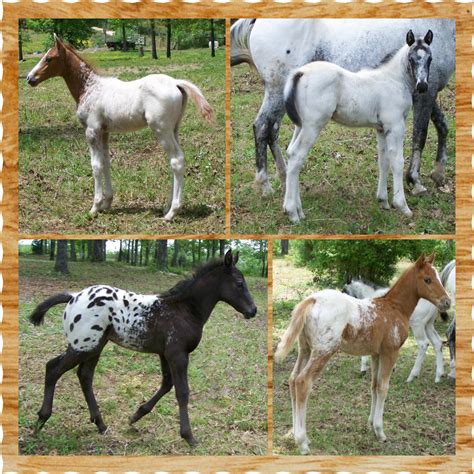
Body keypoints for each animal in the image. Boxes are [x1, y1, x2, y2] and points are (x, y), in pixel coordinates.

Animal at [24, 34, 213, 221]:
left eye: (49, 58)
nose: (29, 78)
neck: (89, 88)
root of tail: (176, 83)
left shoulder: (91, 131)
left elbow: (96, 166)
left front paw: (95, 207)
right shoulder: (104, 132)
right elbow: (106, 162)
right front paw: (107, 203)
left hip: (161, 129)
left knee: (177, 160)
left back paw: (172, 212)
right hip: (174, 129)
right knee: (175, 160)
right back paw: (167, 207)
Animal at [27, 250, 258, 446]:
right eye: (239, 283)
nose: (253, 310)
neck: (184, 309)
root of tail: (74, 296)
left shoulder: (165, 354)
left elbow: (167, 384)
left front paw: (136, 415)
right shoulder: (178, 354)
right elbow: (182, 392)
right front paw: (189, 436)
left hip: (95, 346)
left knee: (84, 376)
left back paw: (100, 424)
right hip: (83, 345)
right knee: (53, 368)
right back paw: (41, 421)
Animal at [232, 18, 456, 196]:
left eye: (430, 59)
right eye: (413, 59)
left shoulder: (426, 89)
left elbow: (442, 125)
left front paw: (438, 173)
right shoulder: (426, 93)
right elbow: (421, 135)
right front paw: (416, 182)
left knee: (273, 130)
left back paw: (284, 177)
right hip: (276, 91)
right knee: (262, 126)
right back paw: (265, 185)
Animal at [272, 254, 450, 454]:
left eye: (437, 277)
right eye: (427, 279)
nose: (446, 302)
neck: (395, 307)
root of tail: (312, 299)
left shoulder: (376, 354)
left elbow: (374, 385)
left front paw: (371, 423)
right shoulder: (390, 352)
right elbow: (383, 387)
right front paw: (380, 431)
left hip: (306, 349)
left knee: (293, 379)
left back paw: (295, 435)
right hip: (323, 351)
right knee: (303, 382)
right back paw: (302, 442)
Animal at [282, 30, 434, 223]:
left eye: (429, 58)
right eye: (412, 58)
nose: (422, 86)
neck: (394, 80)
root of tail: (300, 72)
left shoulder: (381, 128)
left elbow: (383, 161)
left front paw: (383, 201)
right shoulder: (395, 126)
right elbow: (397, 161)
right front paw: (402, 206)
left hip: (301, 125)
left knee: (290, 153)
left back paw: (298, 210)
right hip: (313, 126)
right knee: (296, 156)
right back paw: (292, 213)